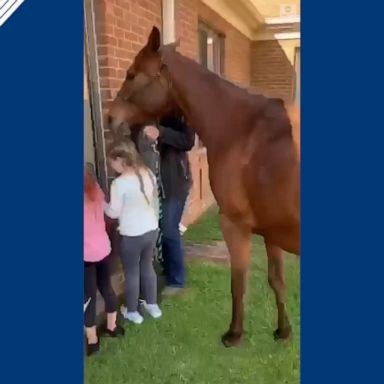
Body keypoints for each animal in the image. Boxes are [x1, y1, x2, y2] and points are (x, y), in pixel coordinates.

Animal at [108, 25, 300, 346]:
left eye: (132, 74)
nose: (111, 117)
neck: (242, 130)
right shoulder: (272, 230)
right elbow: (277, 280)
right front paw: (283, 331)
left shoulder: (234, 224)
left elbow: (238, 282)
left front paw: (234, 334)